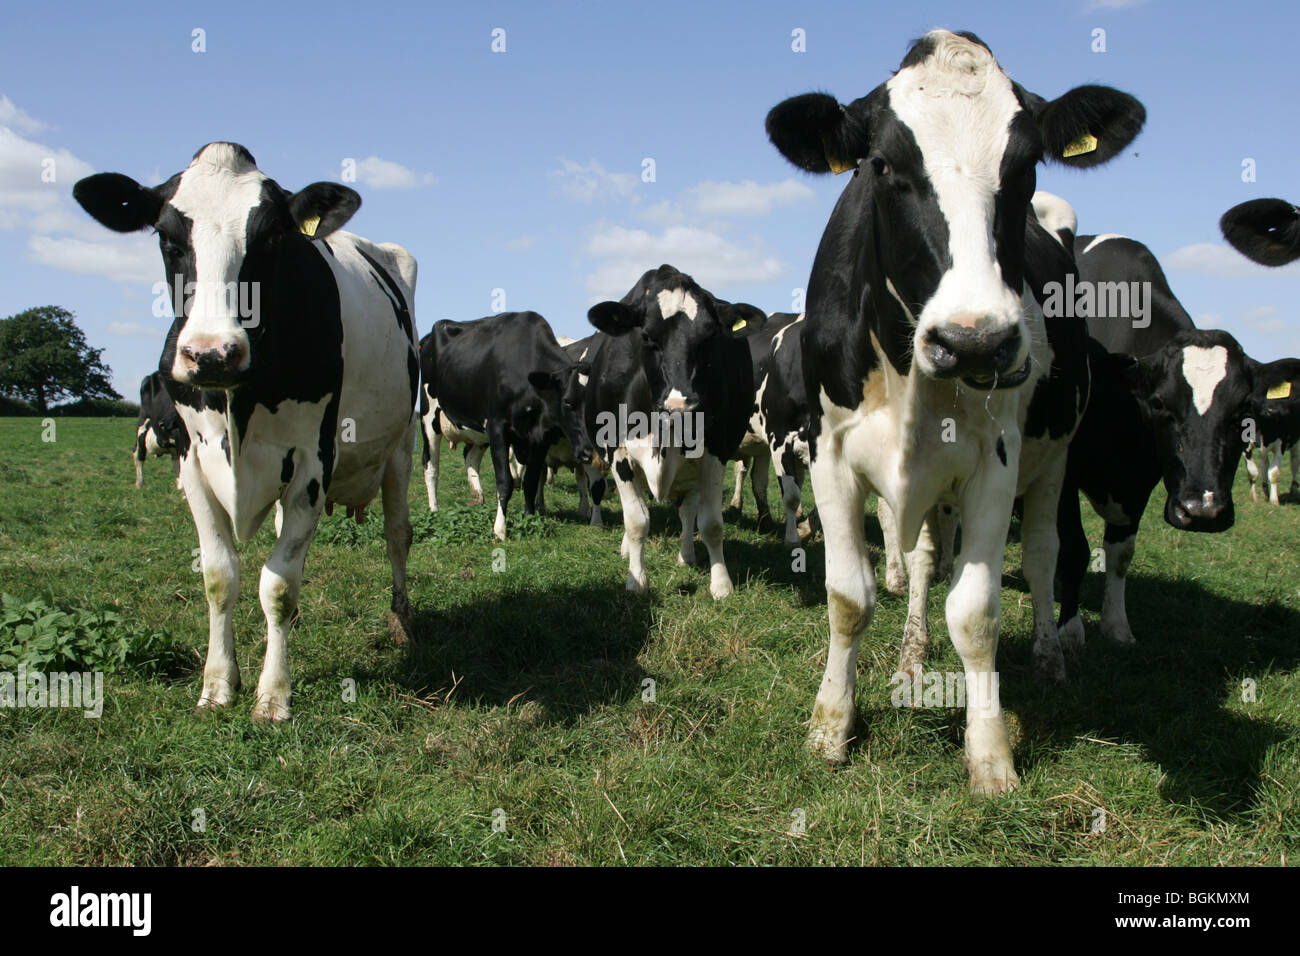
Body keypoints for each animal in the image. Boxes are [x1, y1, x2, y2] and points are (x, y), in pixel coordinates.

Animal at [73, 145, 418, 723]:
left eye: (272, 239)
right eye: (167, 238)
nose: (212, 353)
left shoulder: (312, 463)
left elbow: (277, 583)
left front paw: (273, 695)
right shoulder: (191, 462)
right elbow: (221, 577)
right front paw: (217, 685)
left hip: (402, 446)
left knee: (397, 534)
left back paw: (402, 622)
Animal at [421, 312, 590, 541]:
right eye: (567, 402)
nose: (588, 451)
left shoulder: (540, 438)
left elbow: (530, 482)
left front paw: (529, 518)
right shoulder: (497, 428)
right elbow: (504, 482)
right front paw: (499, 529)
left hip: (478, 431)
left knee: (470, 458)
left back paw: (478, 499)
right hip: (429, 417)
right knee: (430, 466)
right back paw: (434, 509)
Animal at [582, 264, 769, 598]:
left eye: (709, 337)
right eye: (646, 335)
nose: (680, 406)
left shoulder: (716, 451)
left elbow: (710, 524)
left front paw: (721, 584)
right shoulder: (618, 452)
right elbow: (637, 522)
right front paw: (636, 579)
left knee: (688, 510)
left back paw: (687, 555)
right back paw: (627, 551)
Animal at [764, 29, 1144, 790]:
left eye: (1026, 164)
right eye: (882, 165)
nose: (975, 340)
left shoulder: (996, 463)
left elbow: (976, 613)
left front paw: (990, 753)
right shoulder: (829, 453)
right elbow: (850, 598)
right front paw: (831, 725)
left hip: (1052, 460)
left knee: (1045, 553)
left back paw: (1050, 655)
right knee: (924, 559)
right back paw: (912, 658)